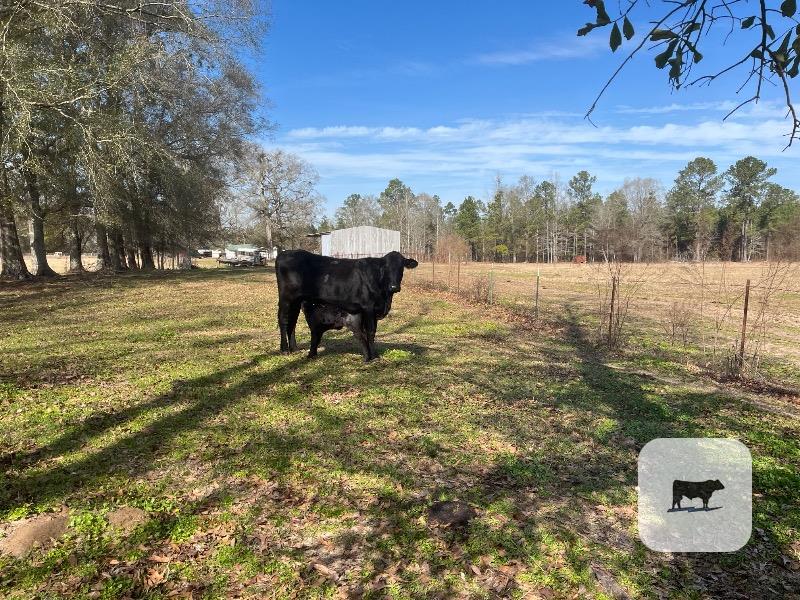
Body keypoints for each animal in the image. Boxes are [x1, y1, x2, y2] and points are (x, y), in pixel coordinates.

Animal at [275, 250, 418, 361]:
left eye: (401, 267)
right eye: (386, 268)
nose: (394, 287)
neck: (385, 298)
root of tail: (284, 253)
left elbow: (370, 332)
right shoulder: (368, 307)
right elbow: (370, 332)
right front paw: (374, 356)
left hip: (297, 300)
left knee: (293, 321)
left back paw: (294, 348)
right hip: (286, 298)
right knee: (283, 320)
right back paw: (284, 349)